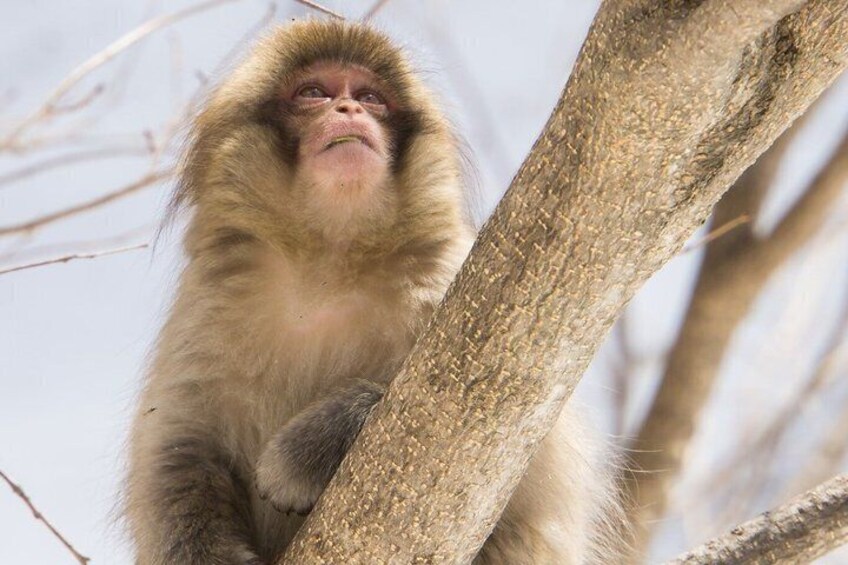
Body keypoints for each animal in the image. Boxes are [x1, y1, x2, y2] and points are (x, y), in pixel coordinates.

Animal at [126, 19, 619, 565]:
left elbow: (520, 451)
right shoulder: (209, 303)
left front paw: (306, 451)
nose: (349, 110)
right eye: (314, 93)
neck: (328, 262)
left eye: (370, 97)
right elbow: (177, 453)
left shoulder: (446, 278)